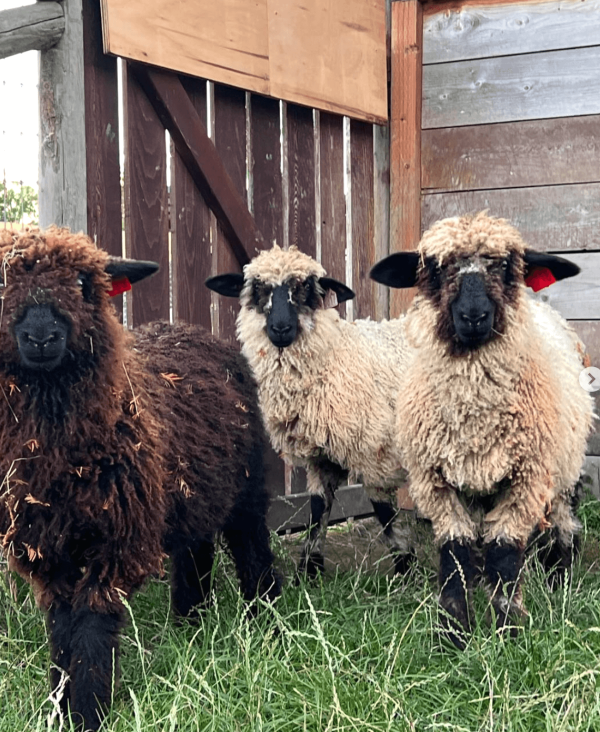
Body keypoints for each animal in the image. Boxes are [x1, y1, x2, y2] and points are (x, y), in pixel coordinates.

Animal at [0, 226, 280, 728]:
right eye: (2, 281)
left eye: (83, 284)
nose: (40, 336)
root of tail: (188, 327)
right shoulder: (49, 549)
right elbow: (61, 630)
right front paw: (58, 706)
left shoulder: (114, 542)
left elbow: (90, 628)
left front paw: (88, 712)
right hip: (190, 488)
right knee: (195, 549)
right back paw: (189, 623)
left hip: (246, 483)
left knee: (251, 545)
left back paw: (265, 617)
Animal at [206, 246, 412, 576]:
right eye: (259, 287)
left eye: (304, 287)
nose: (280, 328)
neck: (332, 358)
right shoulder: (320, 457)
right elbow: (317, 510)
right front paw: (309, 570)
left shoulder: (375, 452)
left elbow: (385, 514)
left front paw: (406, 568)